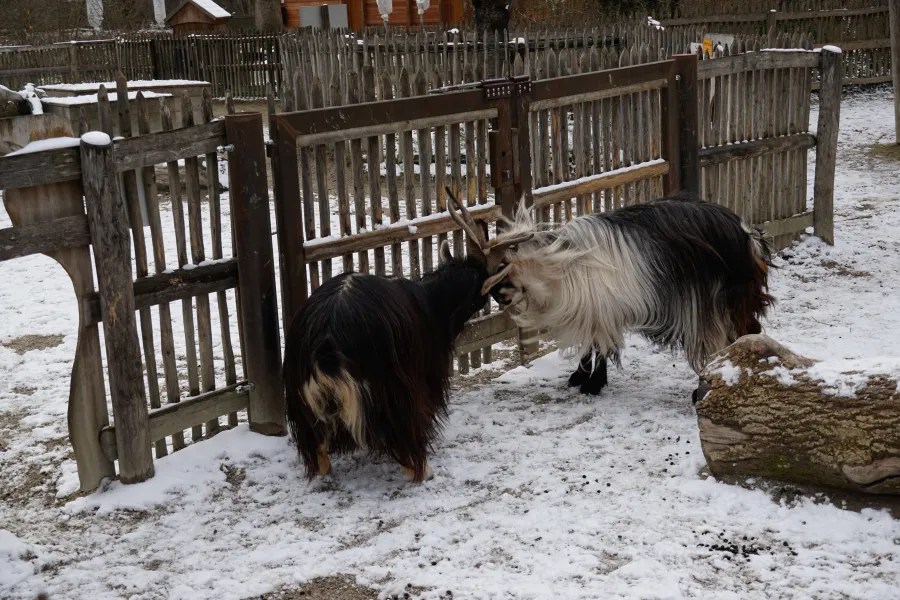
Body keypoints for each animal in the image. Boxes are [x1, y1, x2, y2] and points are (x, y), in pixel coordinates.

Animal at [283, 191, 531, 482]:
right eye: (478, 298)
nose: (504, 297)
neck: (431, 300)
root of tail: (326, 342)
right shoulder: (426, 369)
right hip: (392, 389)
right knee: (404, 431)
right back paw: (421, 469)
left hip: (301, 399)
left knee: (317, 449)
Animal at [479, 193, 774, 395]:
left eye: (502, 267)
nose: (499, 298)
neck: (560, 265)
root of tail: (748, 236)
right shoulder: (594, 311)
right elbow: (591, 344)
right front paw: (581, 378)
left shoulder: (600, 309)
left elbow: (598, 346)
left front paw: (591, 384)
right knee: (748, 331)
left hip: (720, 305)